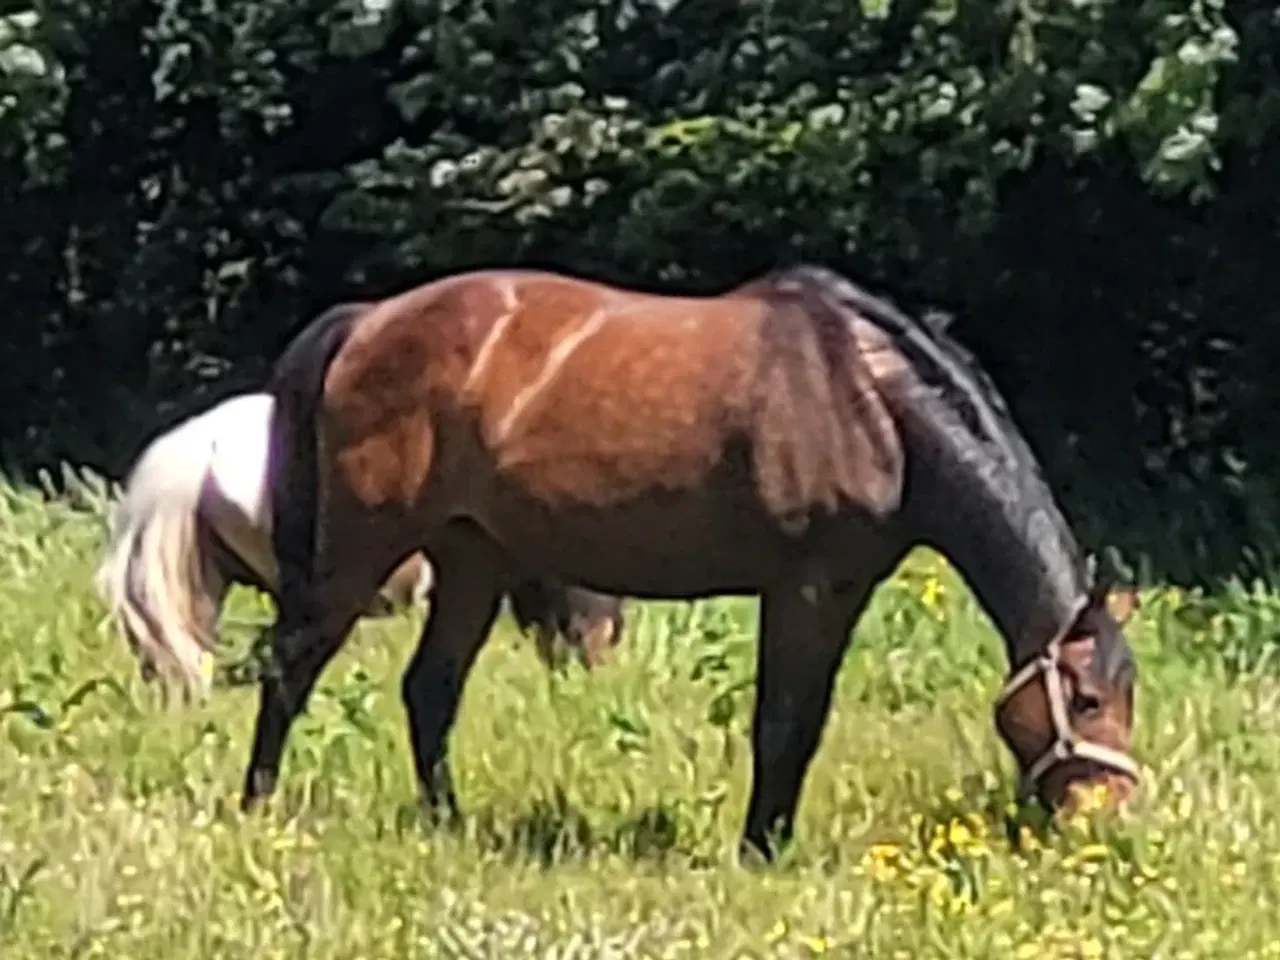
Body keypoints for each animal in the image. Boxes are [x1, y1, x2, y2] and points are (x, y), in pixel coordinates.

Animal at [244, 264, 1146, 865]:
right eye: (1087, 699)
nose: (1109, 817)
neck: (869, 398)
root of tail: (367, 321)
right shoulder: (807, 586)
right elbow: (783, 721)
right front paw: (760, 852)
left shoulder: (848, 587)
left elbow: (803, 722)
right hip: (363, 548)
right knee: (292, 666)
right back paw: (259, 805)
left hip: (474, 559)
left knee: (429, 690)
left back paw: (447, 824)